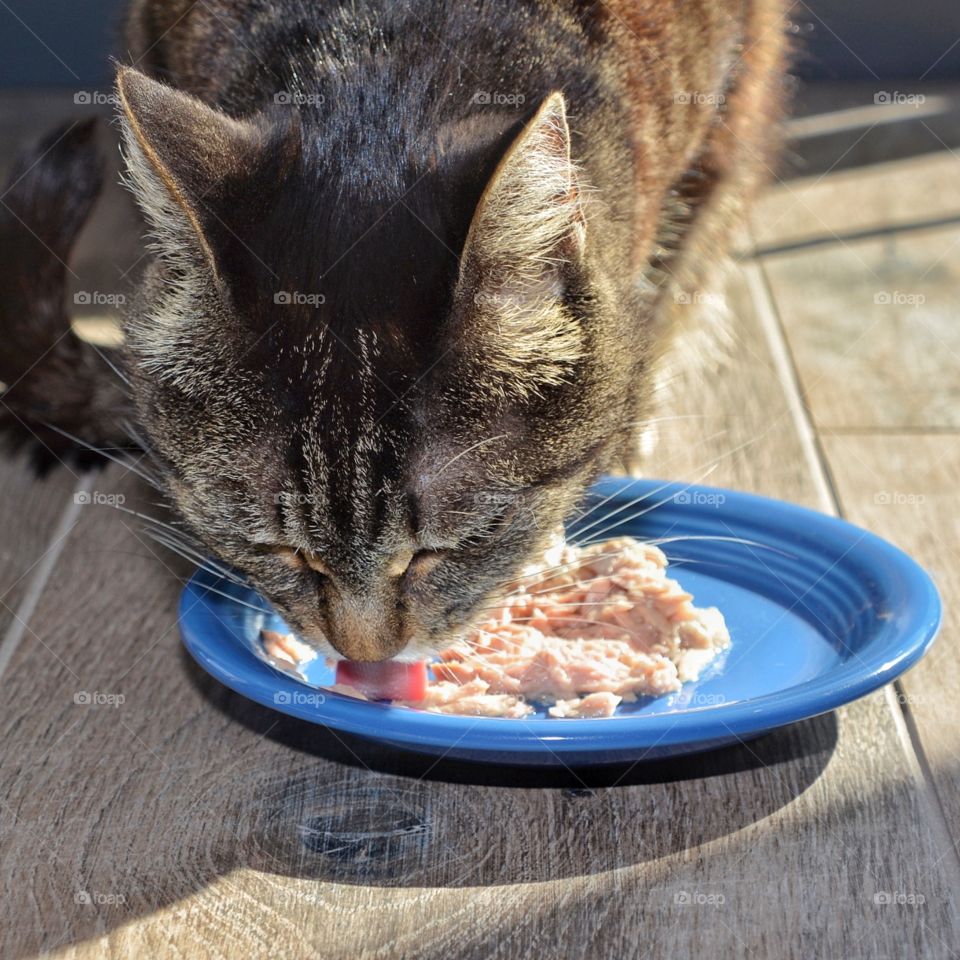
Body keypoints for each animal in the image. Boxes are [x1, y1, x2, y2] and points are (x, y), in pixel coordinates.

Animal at [0, 0, 788, 660]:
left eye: (449, 547)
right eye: (282, 550)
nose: (366, 656)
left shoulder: (724, 107)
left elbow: (669, 283)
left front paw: (622, 437)